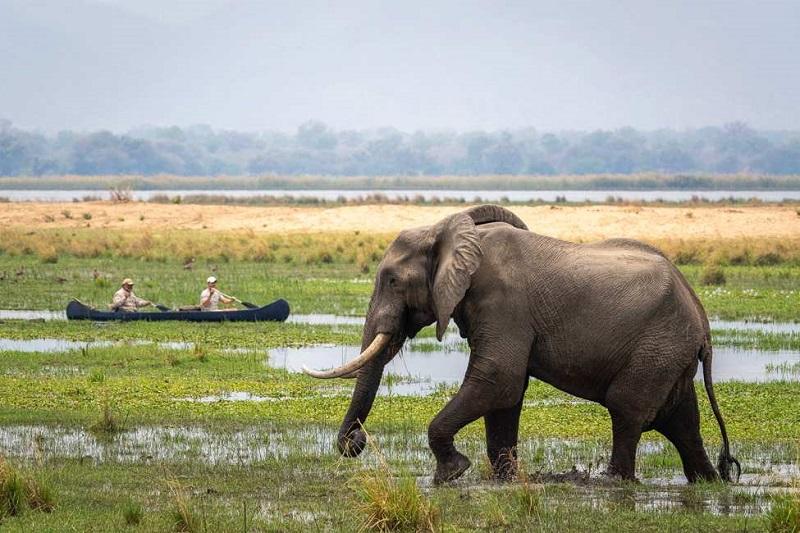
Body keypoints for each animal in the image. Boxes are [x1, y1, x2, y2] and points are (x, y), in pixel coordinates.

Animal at [304, 203, 740, 482]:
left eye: (392, 280)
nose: (356, 442)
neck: (453, 235)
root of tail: (702, 319)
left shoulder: (503, 303)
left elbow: (499, 379)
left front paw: (452, 473)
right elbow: (505, 395)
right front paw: (506, 480)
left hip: (657, 346)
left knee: (629, 410)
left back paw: (615, 483)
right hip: (669, 352)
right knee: (681, 421)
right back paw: (708, 482)